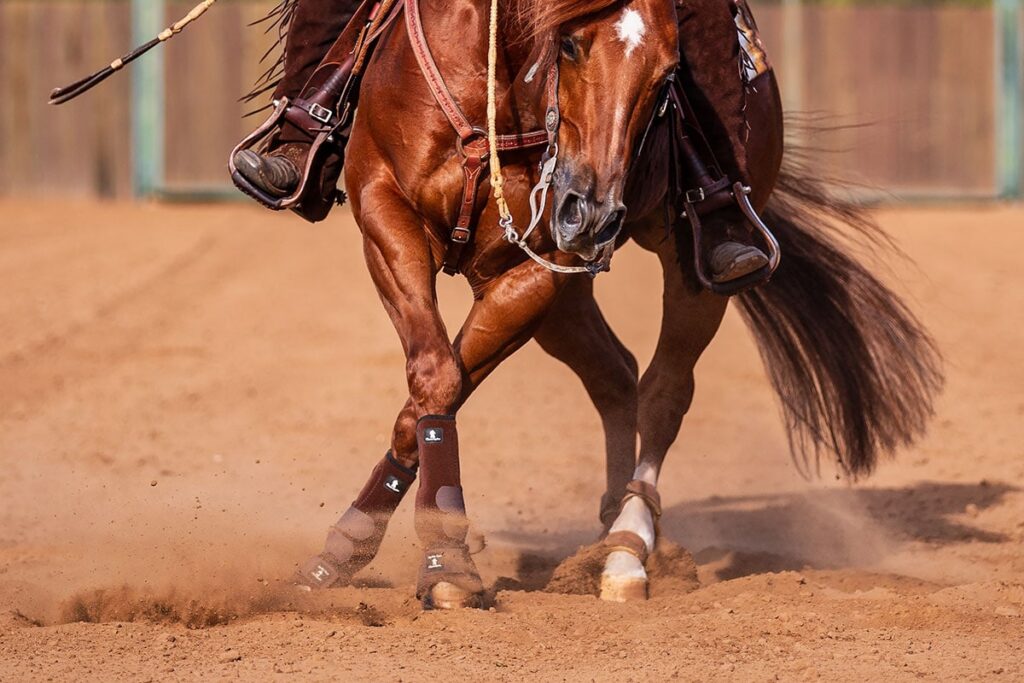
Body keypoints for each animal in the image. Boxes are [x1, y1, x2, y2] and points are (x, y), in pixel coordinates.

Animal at [298, 0, 941, 609]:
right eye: (570, 45)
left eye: (668, 75)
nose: (591, 213)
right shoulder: (385, 211)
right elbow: (436, 377)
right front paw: (358, 548)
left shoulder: (536, 269)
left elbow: (441, 384)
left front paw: (445, 560)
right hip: (567, 301)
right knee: (614, 374)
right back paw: (609, 527)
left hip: (691, 271)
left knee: (663, 389)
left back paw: (627, 549)